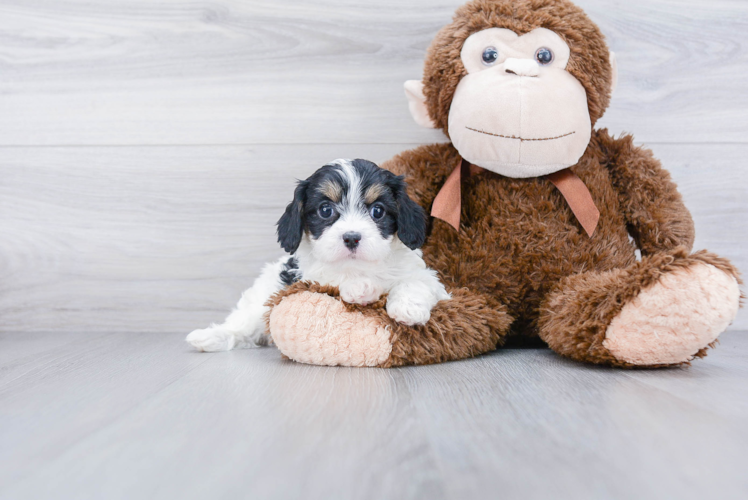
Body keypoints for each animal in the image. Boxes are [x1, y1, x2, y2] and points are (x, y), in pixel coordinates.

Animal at [187, 159, 450, 352]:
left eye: (378, 211)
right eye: (325, 210)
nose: (352, 237)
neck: (359, 266)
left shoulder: (428, 279)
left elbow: (416, 281)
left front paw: (408, 308)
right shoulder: (312, 279)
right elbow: (336, 280)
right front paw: (361, 287)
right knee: (243, 323)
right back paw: (208, 337)